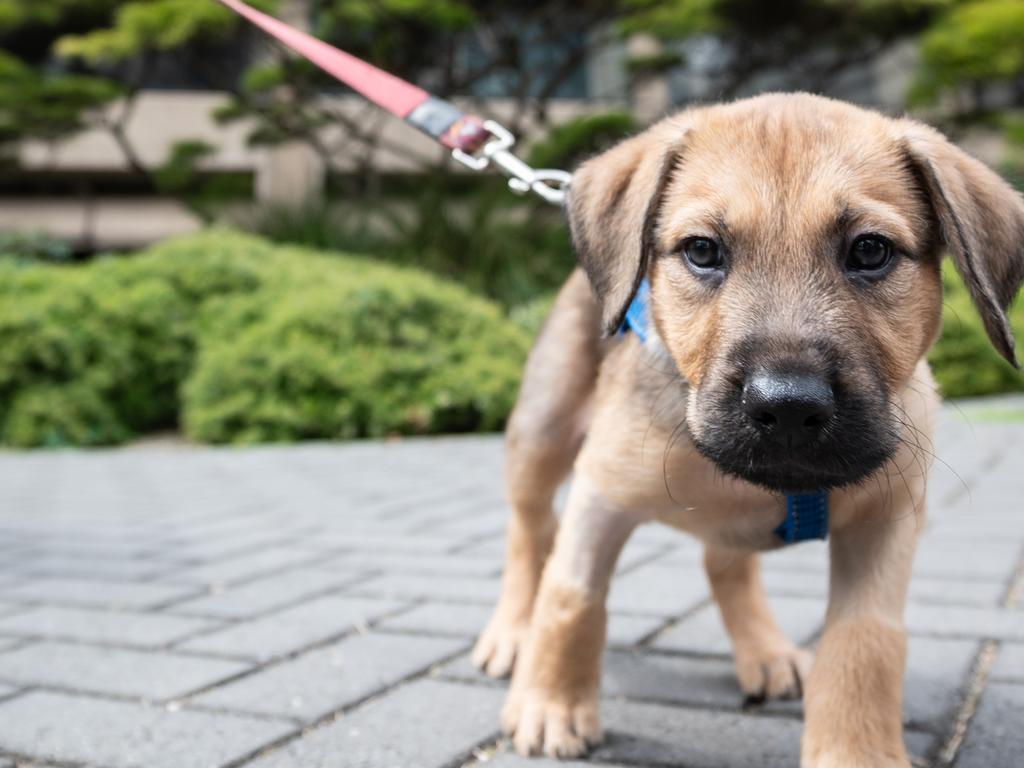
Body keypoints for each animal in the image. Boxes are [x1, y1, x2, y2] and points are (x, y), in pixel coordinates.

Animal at [471, 93, 1024, 765]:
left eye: (870, 251)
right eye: (703, 251)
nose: (786, 407)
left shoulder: (885, 520)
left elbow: (866, 640)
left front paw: (855, 751)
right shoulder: (600, 493)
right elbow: (571, 595)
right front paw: (551, 705)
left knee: (724, 563)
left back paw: (766, 650)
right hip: (541, 434)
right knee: (529, 533)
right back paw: (511, 634)